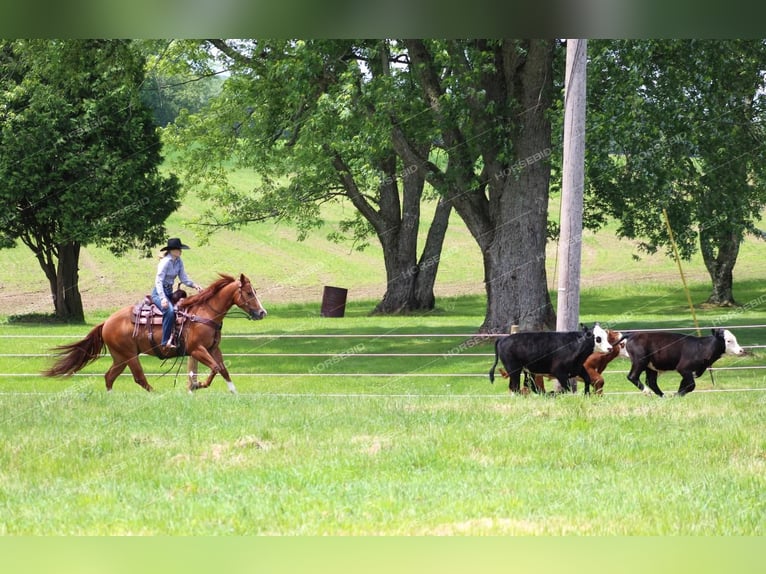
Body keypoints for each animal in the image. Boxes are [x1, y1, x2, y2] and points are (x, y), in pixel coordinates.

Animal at [45, 276, 268, 396]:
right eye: (249, 293)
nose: (262, 313)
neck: (204, 313)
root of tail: (106, 322)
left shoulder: (214, 348)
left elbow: (223, 370)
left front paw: (234, 392)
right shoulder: (197, 350)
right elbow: (214, 368)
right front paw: (197, 385)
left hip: (120, 357)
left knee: (109, 376)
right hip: (130, 356)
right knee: (139, 378)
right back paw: (155, 394)